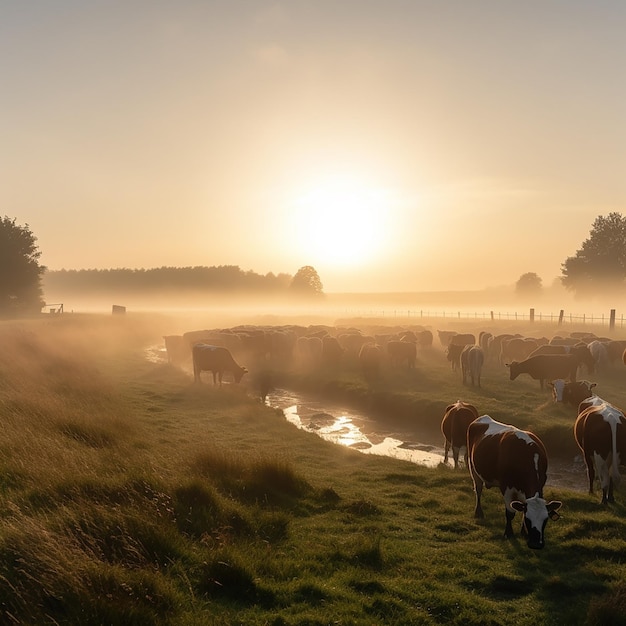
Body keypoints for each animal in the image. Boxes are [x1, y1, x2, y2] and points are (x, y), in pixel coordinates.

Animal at [464, 416, 560, 548]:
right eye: (529, 520)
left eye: (545, 520)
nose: (536, 544)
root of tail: (482, 417)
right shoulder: (506, 487)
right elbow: (510, 513)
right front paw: (508, 534)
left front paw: (524, 533)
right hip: (473, 468)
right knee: (478, 490)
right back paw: (478, 513)